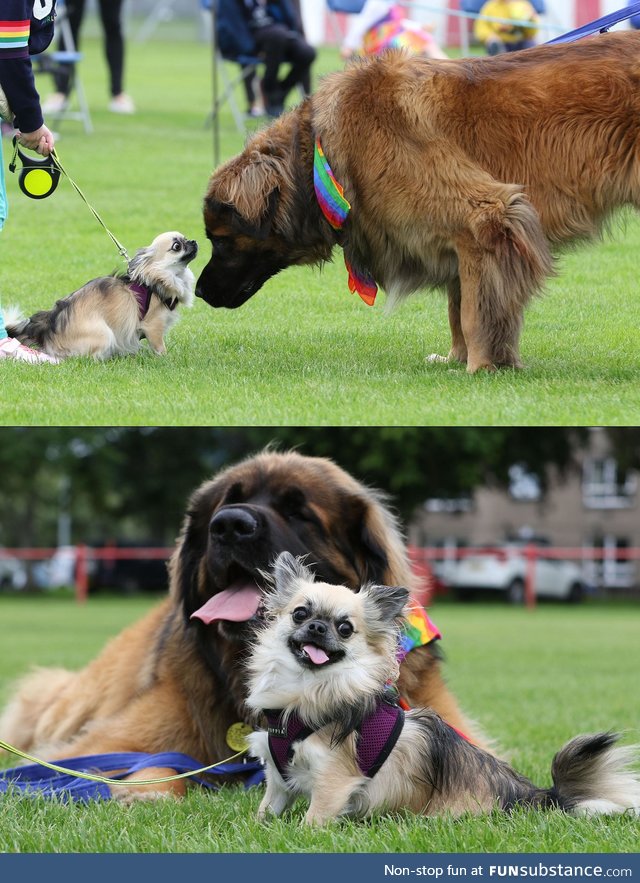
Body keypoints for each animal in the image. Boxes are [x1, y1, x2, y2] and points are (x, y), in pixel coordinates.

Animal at [0, 456, 480, 800]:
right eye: (225, 504)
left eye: (299, 512)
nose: (230, 525)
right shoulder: (100, 744)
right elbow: (146, 762)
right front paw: (148, 788)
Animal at [194, 32, 640, 372]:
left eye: (221, 240)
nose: (197, 292)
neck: (322, 154)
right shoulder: (465, 243)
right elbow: (459, 306)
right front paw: (458, 359)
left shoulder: (485, 219)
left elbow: (476, 312)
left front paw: (481, 367)